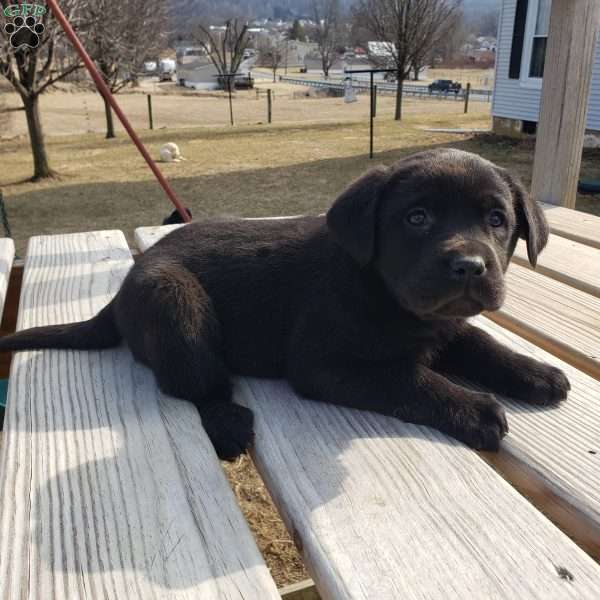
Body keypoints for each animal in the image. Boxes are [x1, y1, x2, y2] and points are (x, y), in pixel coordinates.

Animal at [0, 150, 568, 460]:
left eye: (496, 220)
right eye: (418, 218)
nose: (470, 267)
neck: (386, 294)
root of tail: (118, 294)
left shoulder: (445, 325)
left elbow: (482, 341)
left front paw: (534, 371)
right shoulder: (323, 364)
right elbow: (410, 378)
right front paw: (474, 407)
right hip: (175, 303)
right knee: (192, 384)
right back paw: (228, 423)